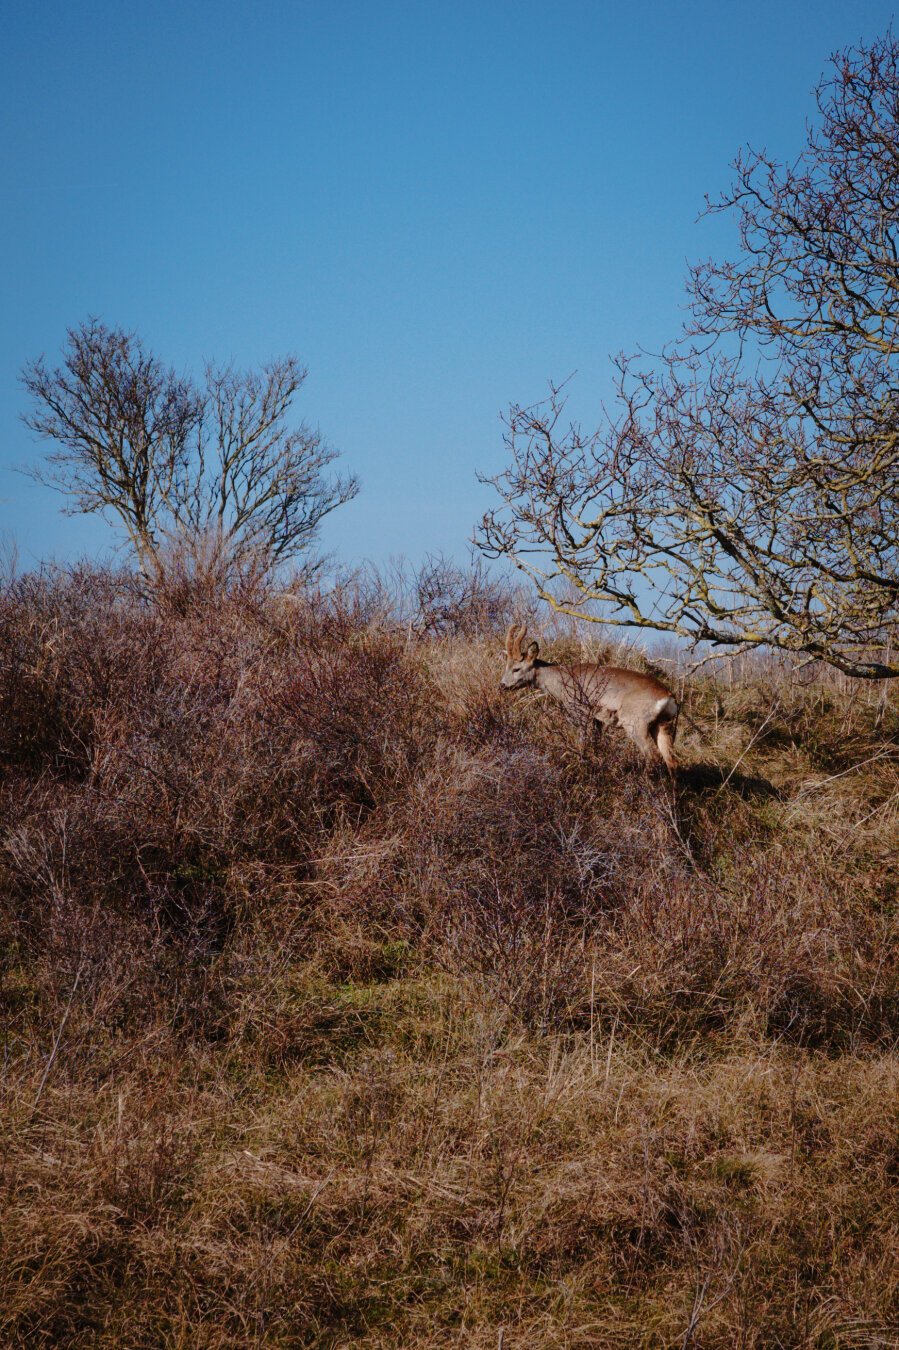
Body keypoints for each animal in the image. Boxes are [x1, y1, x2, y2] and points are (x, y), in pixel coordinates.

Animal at [501, 624, 679, 774]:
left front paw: (581, 767)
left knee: (653, 756)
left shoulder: (581, 711)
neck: (562, 681)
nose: (502, 685)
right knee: (672, 761)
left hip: (635, 722)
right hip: (664, 724)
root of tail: (669, 697)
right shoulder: (597, 719)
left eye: (516, 669)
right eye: (506, 666)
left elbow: (583, 742)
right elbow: (596, 743)